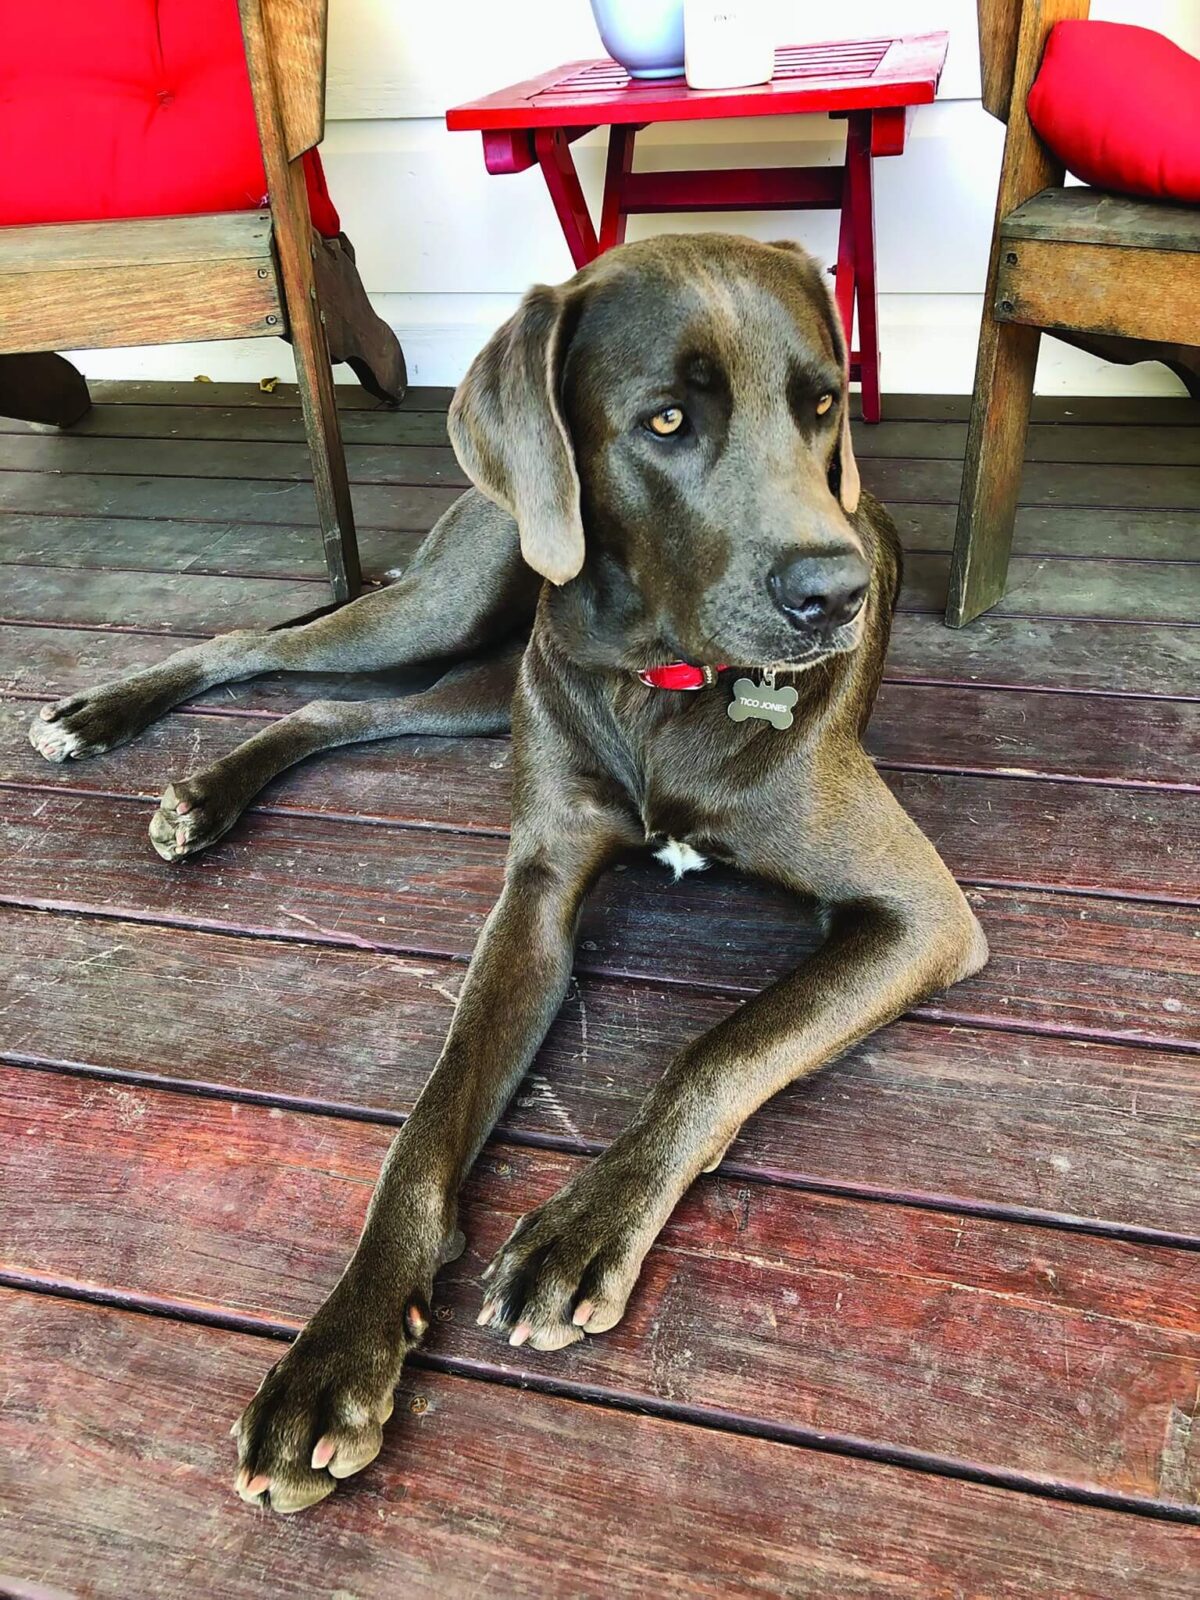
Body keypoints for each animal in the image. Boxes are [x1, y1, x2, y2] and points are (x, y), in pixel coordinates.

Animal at [28, 233, 992, 1510]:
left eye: (824, 405)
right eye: (667, 419)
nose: (833, 595)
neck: (658, 684)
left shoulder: (922, 917)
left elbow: (722, 1047)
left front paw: (586, 1227)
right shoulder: (535, 902)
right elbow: (428, 1122)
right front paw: (336, 1351)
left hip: (483, 682)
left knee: (334, 710)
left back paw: (206, 790)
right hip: (454, 607)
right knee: (267, 648)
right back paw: (107, 719)